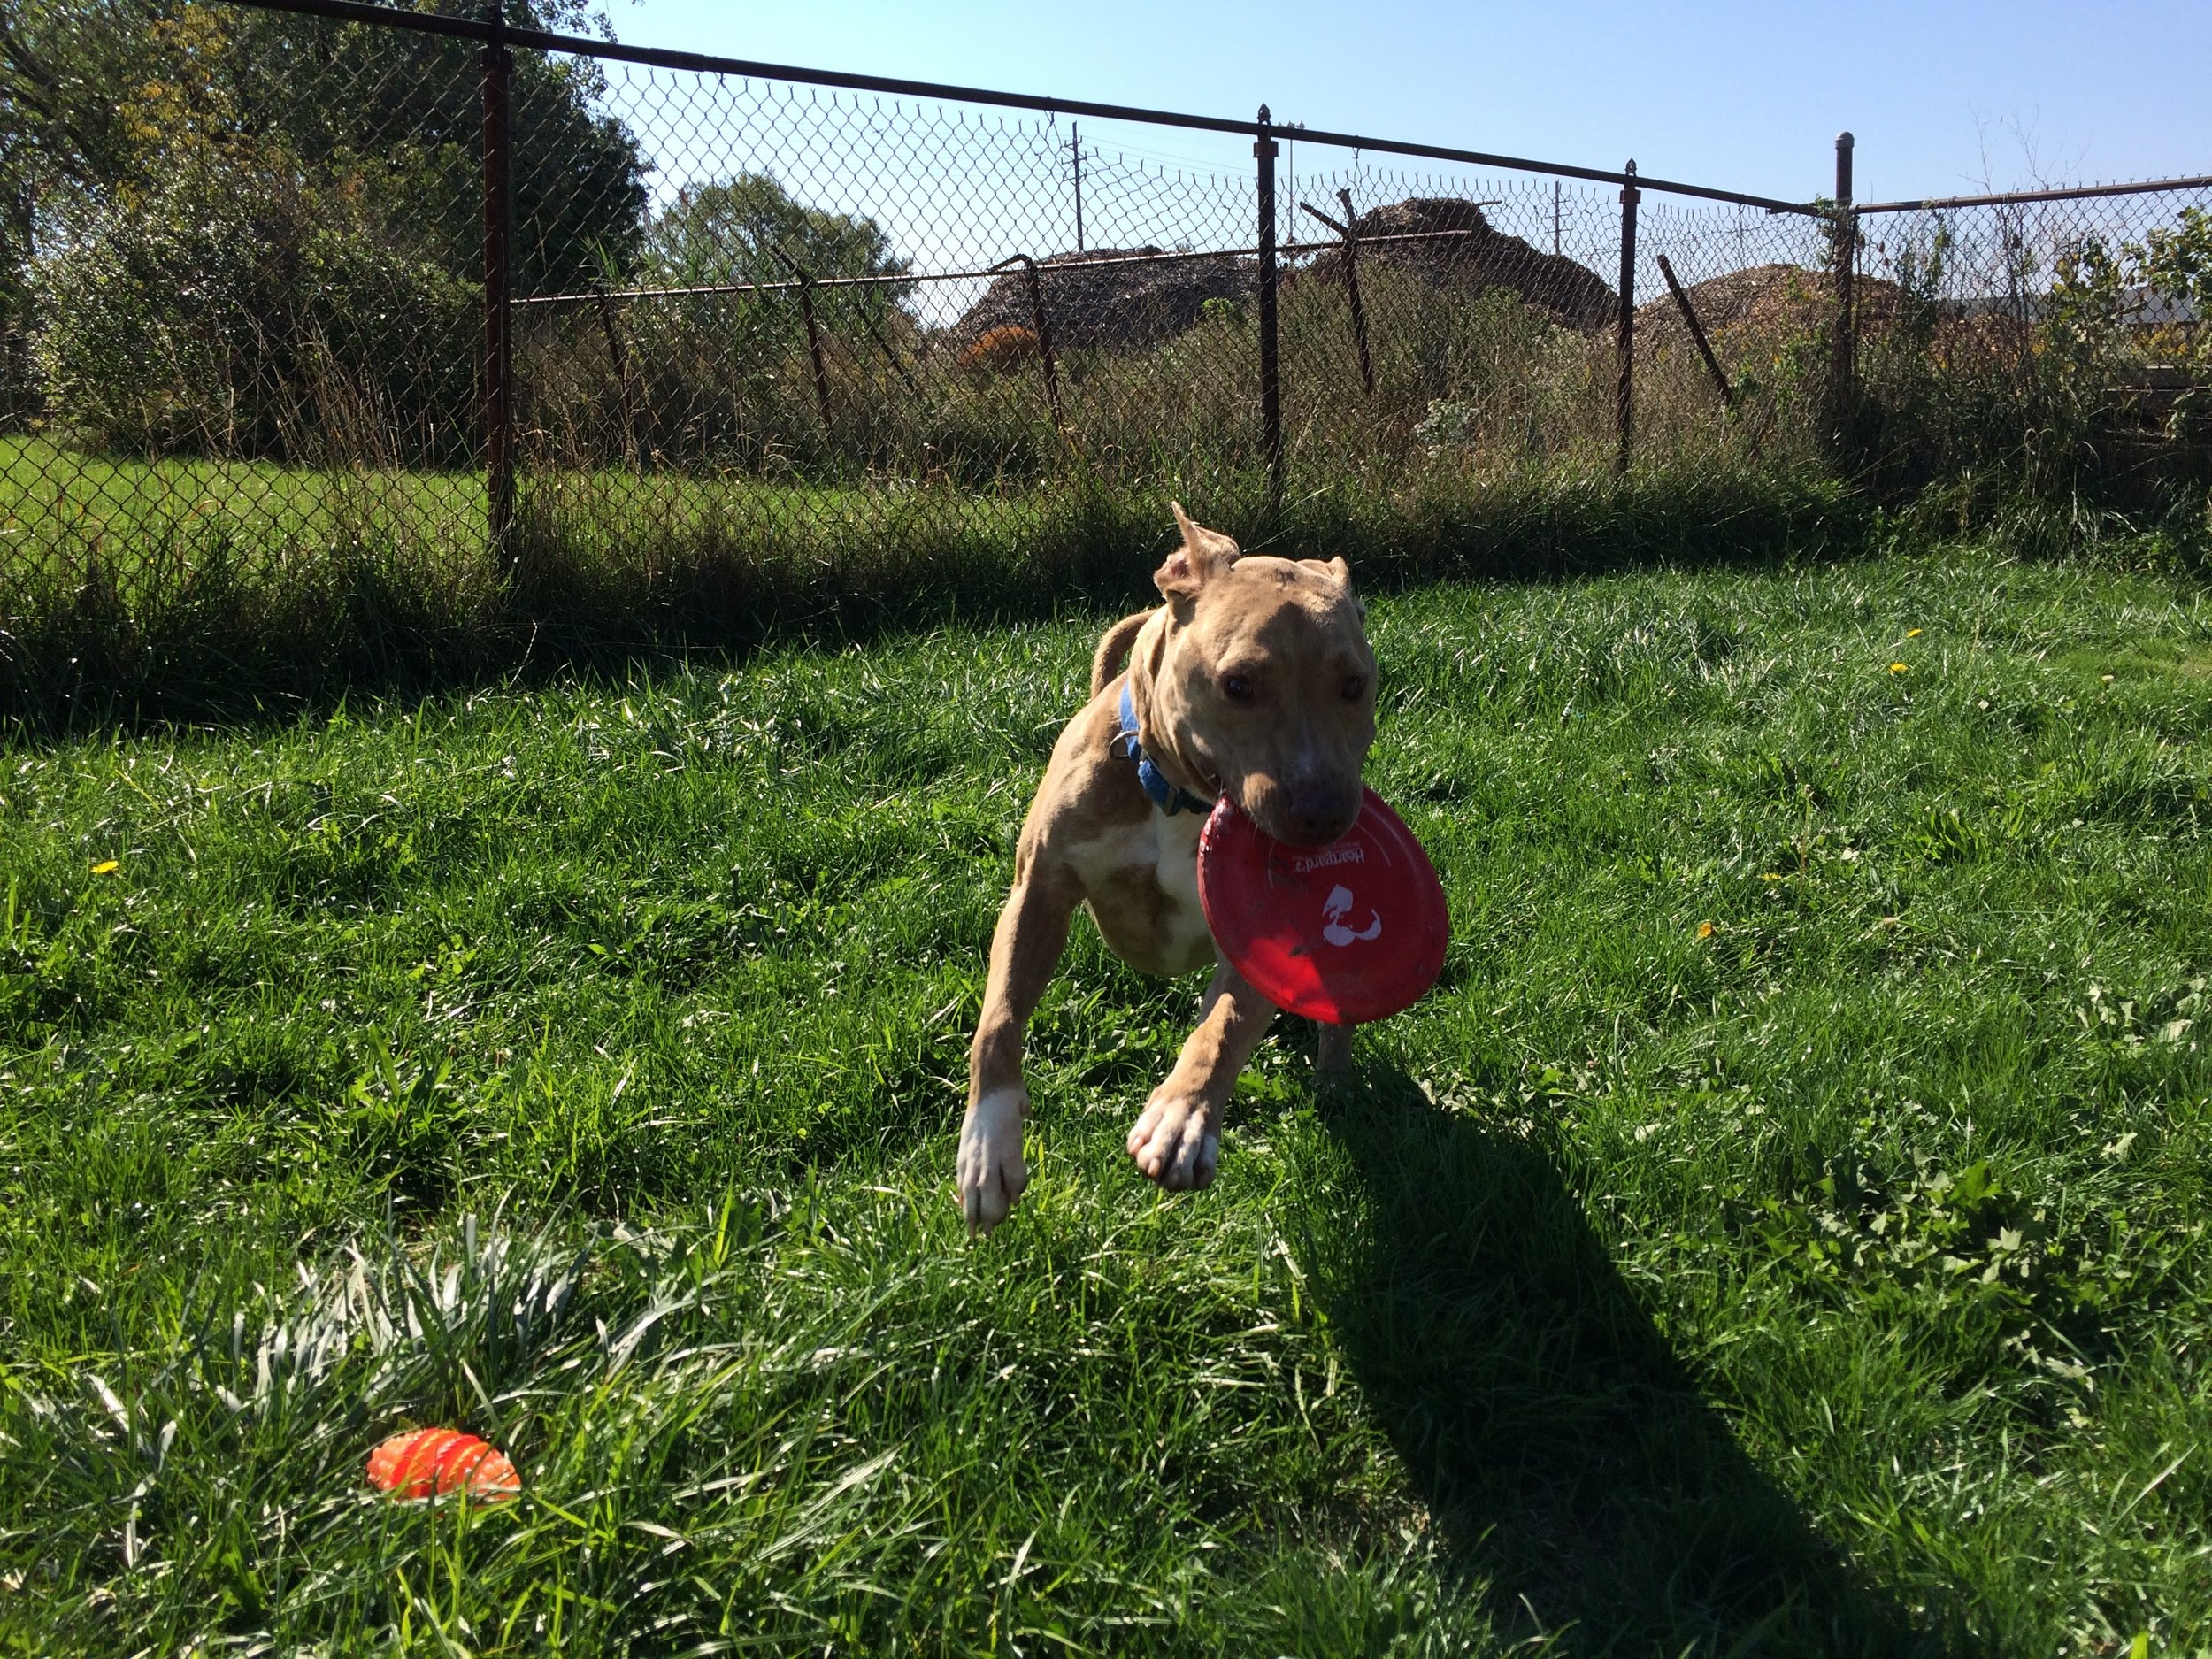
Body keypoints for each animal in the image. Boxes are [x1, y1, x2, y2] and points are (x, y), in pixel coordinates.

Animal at [960, 506, 1371, 1239]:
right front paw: (988, 1145)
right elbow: (1000, 1016)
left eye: (1355, 685)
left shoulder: (1262, 934)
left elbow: (1225, 1025)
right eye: (1238, 684)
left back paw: (1334, 1077)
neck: (1182, 800)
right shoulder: (1037, 894)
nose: (1325, 814)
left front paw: (1183, 1115)